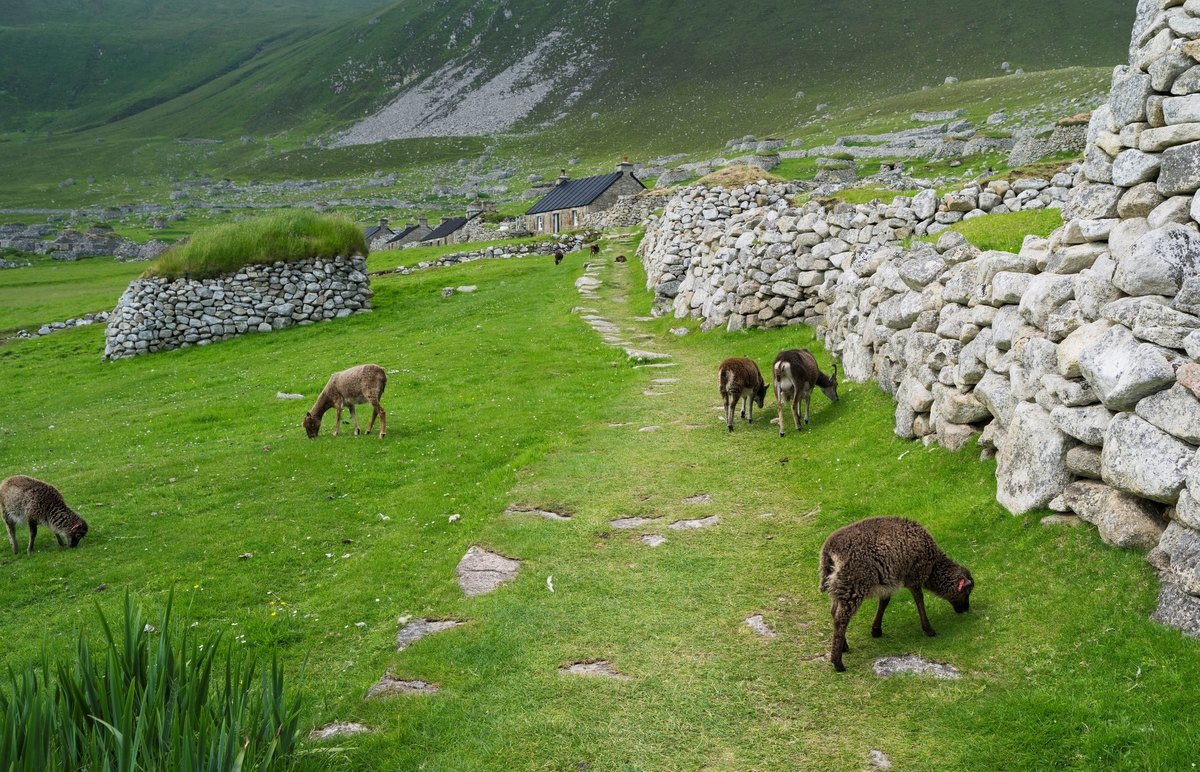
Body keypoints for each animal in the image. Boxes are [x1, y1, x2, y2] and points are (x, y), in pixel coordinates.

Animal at [819, 517, 974, 672]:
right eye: (967, 591)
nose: (965, 609)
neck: (933, 567)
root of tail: (829, 552)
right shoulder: (914, 575)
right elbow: (919, 599)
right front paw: (929, 630)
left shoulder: (887, 580)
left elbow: (884, 602)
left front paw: (876, 630)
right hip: (854, 585)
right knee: (841, 619)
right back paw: (838, 662)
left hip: (838, 587)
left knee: (834, 612)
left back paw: (844, 646)